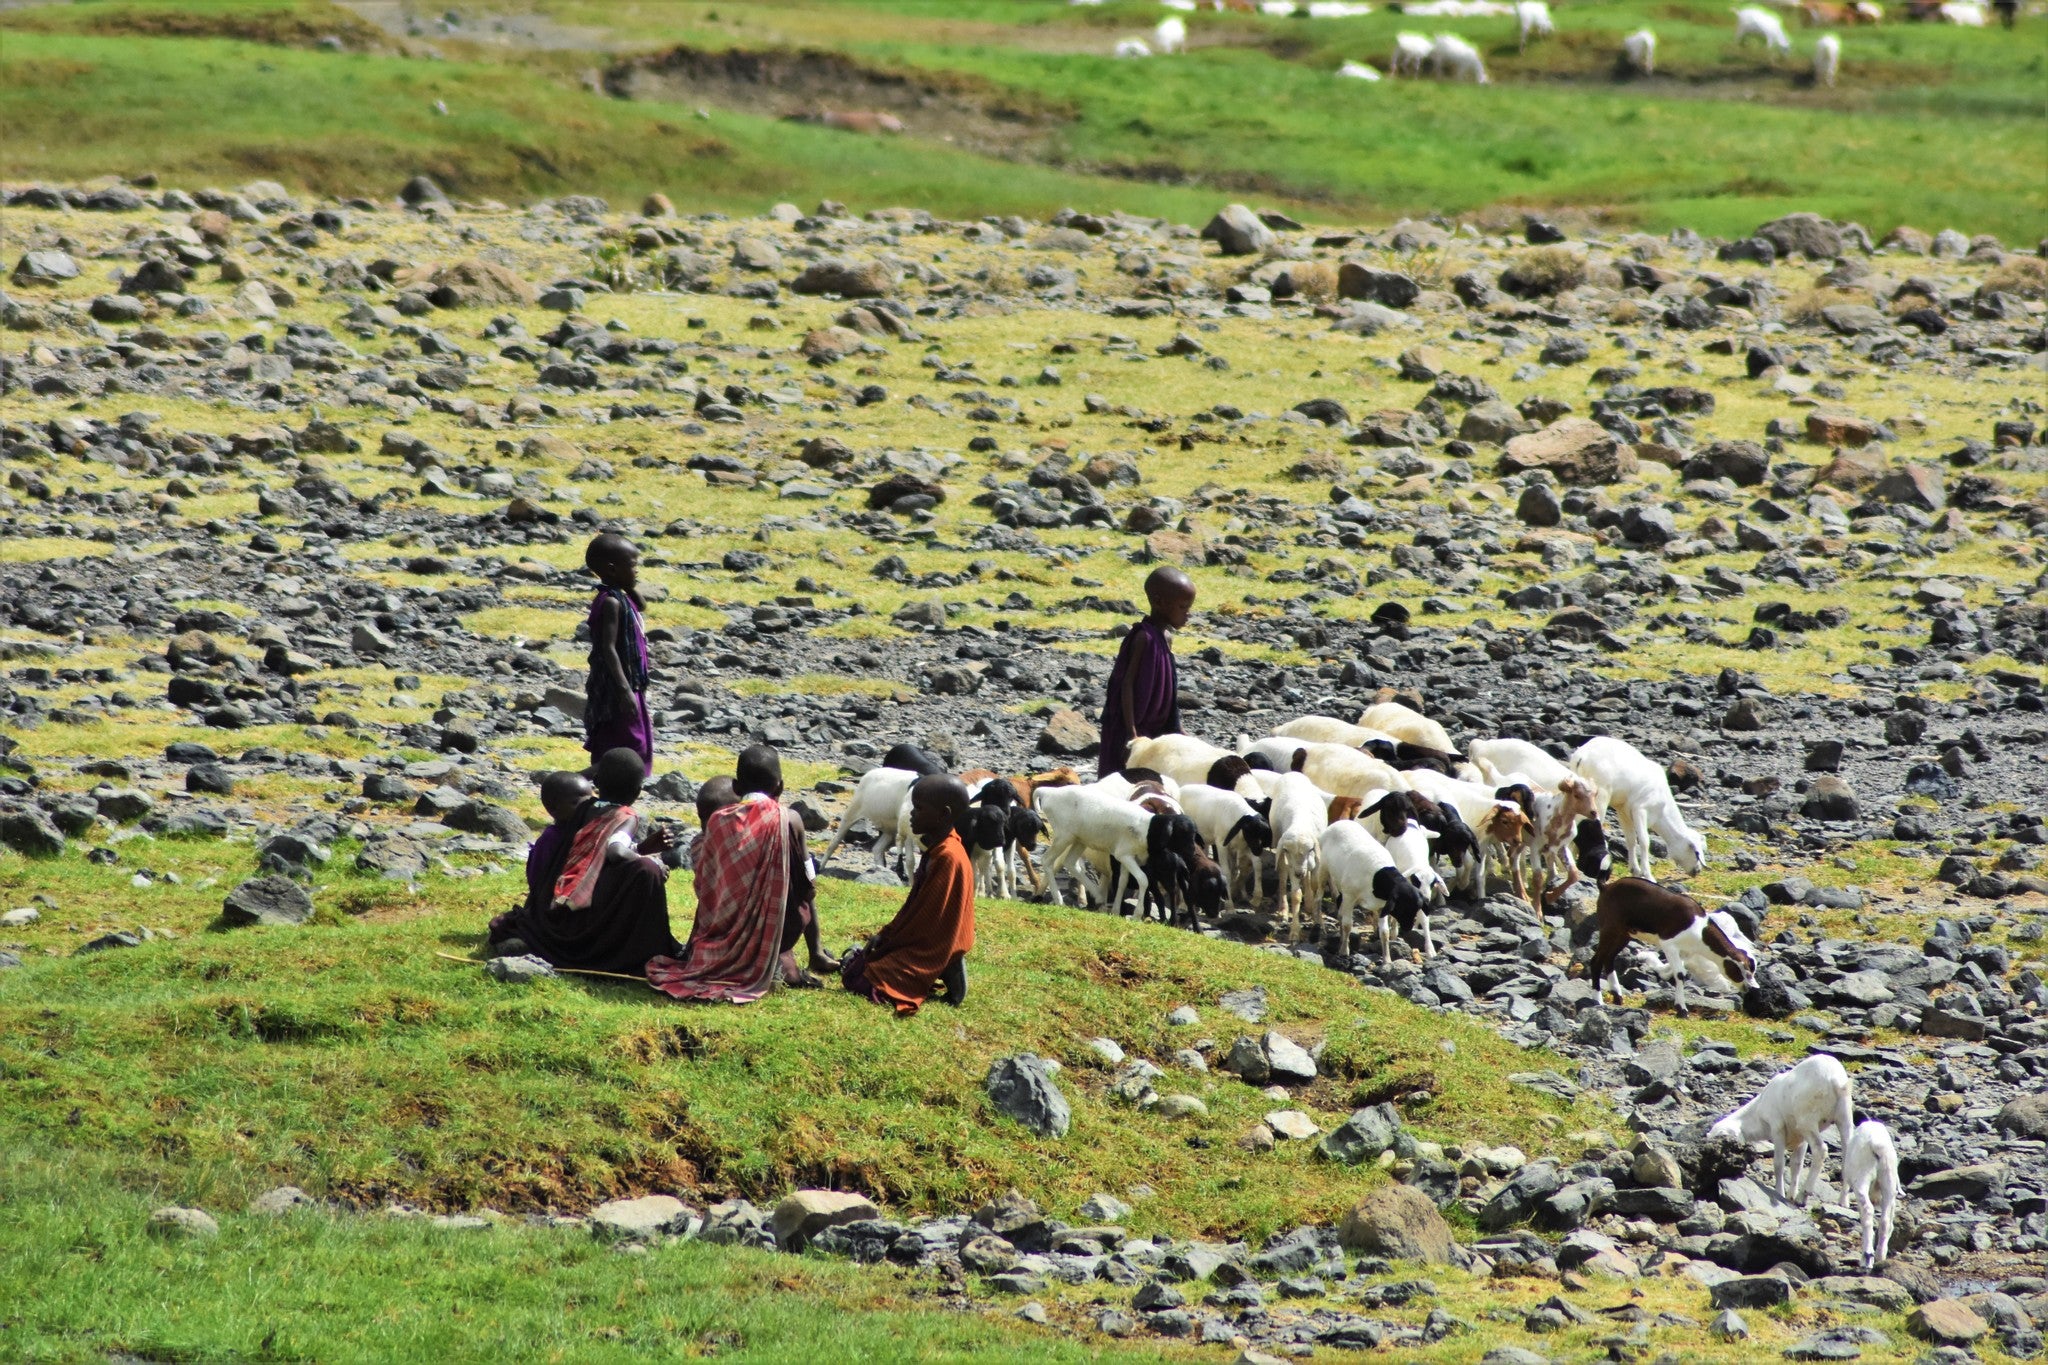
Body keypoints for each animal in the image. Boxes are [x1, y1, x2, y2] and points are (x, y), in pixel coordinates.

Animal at [1564, 736, 1712, 875]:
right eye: (1696, 853)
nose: (1697, 871)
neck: (1661, 812)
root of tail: (1582, 757)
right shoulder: (1640, 810)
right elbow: (1645, 841)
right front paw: (1647, 875)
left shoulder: (1623, 811)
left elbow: (1630, 839)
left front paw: (1635, 869)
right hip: (1600, 798)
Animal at [1695, 1055, 1859, 1203]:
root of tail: (1835, 1080)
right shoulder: (1801, 1139)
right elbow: (1796, 1164)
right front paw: (1791, 1195)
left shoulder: (1777, 1127)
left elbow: (1779, 1164)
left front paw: (1780, 1193)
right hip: (1843, 1118)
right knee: (1847, 1156)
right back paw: (1842, 1201)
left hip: (1808, 1120)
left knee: (1820, 1150)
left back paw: (1803, 1196)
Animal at [1843, 1121, 1900, 1268]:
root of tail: (1876, 1145)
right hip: (1888, 1180)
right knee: (1885, 1221)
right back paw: (1880, 1256)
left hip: (1862, 1180)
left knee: (1868, 1211)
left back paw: (1867, 1258)